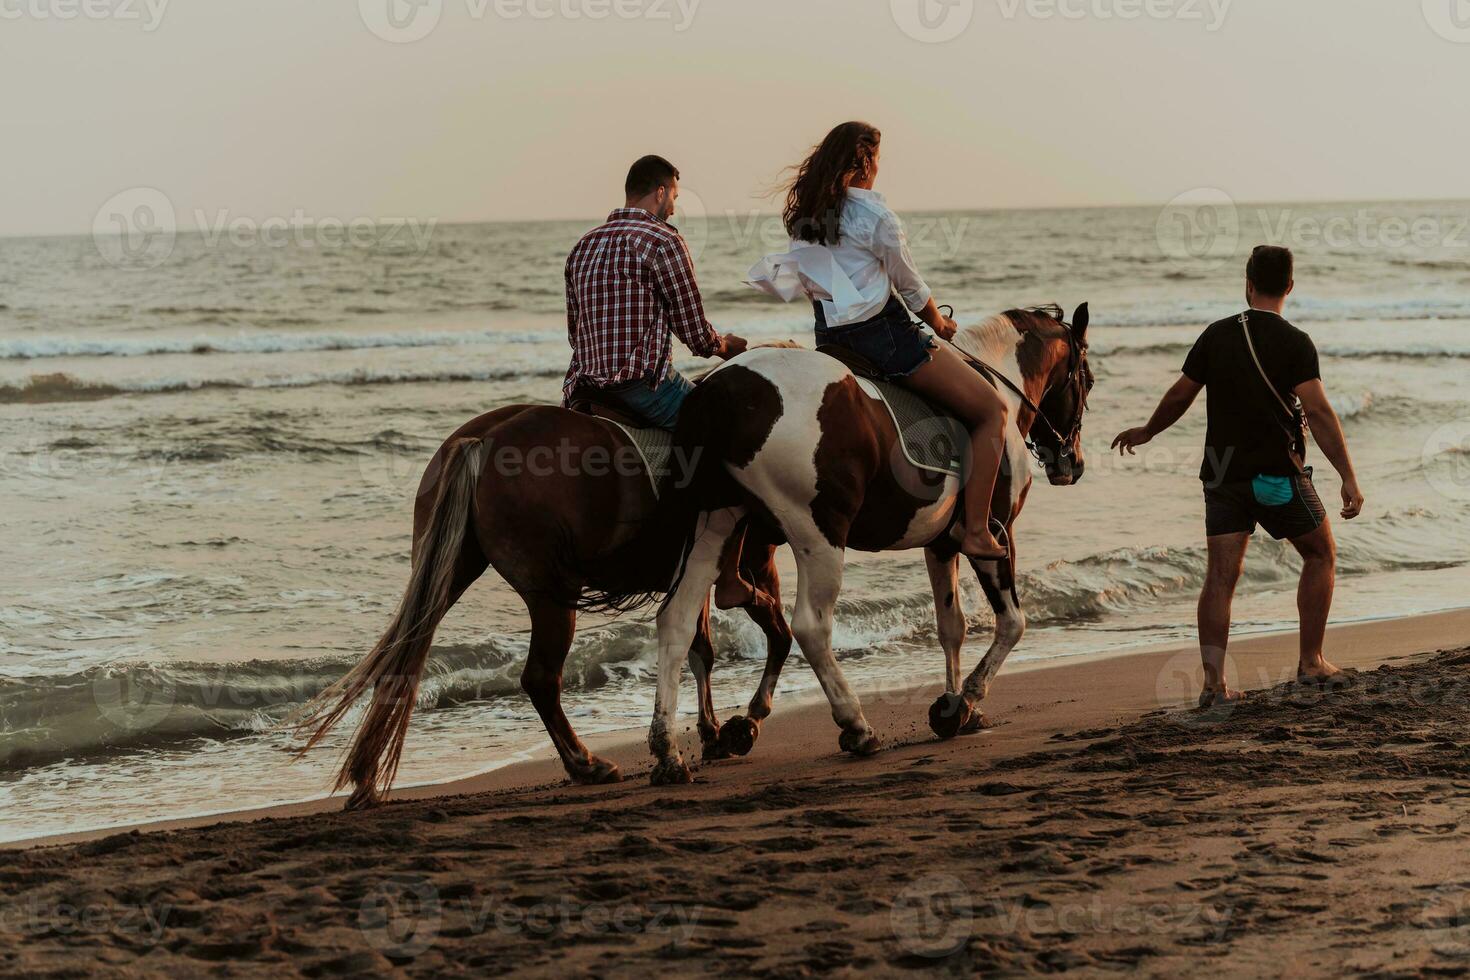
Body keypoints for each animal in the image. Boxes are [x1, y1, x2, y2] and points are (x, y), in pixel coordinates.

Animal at [646, 304, 1093, 781]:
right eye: (1087, 380)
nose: (1073, 463)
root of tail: (720, 391)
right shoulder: (995, 534)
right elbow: (1012, 622)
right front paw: (966, 700)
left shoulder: (940, 545)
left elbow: (951, 626)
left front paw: (954, 706)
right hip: (819, 536)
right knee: (810, 627)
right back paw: (856, 726)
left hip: (714, 526)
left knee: (677, 620)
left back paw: (667, 750)